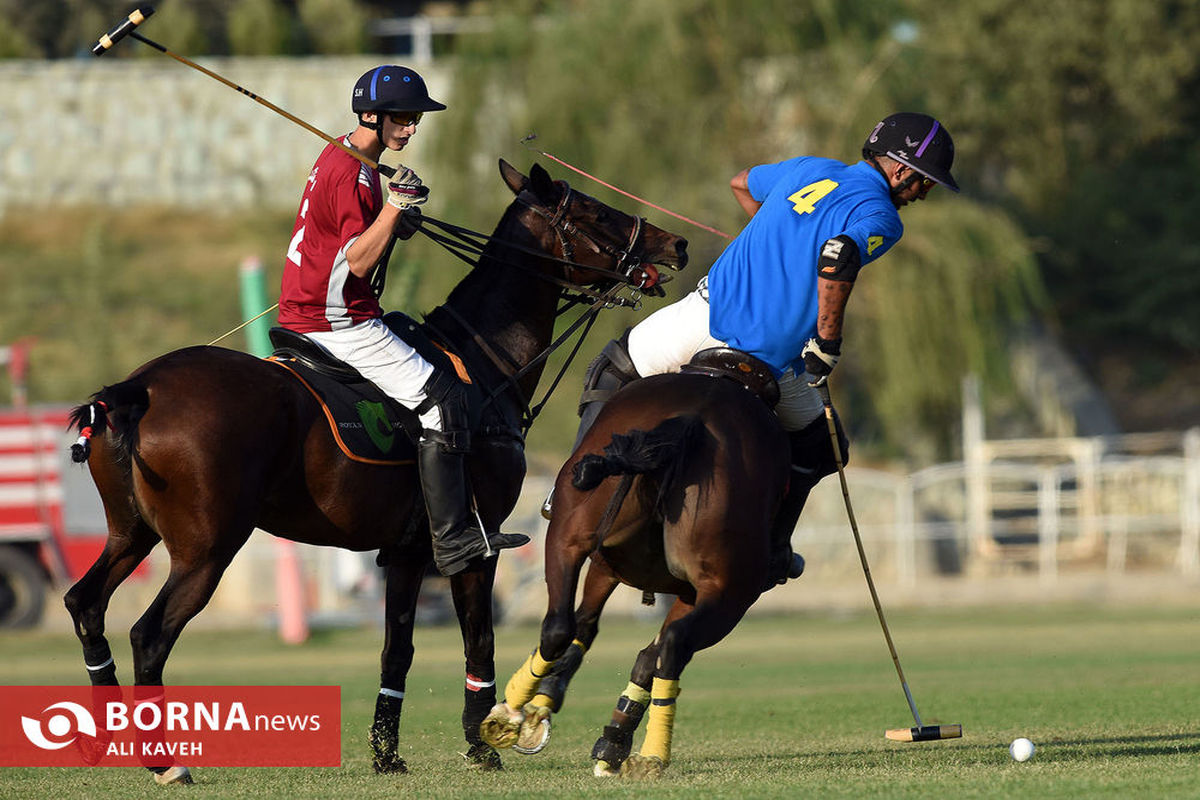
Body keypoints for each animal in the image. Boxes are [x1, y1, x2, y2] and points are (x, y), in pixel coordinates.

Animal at [60, 159, 691, 786]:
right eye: (594, 212)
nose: (677, 244)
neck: (486, 363)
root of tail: (136, 388)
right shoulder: (477, 540)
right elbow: (479, 640)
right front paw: (484, 742)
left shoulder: (408, 551)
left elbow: (397, 651)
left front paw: (387, 755)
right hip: (206, 549)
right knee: (148, 636)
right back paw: (165, 762)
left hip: (130, 533)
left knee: (85, 603)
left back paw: (103, 740)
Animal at [477, 362, 796, 777]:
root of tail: (690, 419)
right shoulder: (664, 582)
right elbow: (625, 644)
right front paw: (600, 733)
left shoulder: (616, 564)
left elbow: (601, 633)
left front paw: (584, 725)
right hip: (730, 589)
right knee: (666, 641)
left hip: (572, 537)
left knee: (562, 627)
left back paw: (510, 716)